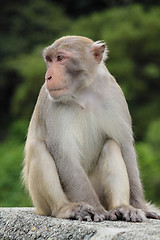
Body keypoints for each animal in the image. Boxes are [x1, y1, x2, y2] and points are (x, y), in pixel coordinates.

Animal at [22, 36, 160, 223]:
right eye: (49, 60)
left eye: (60, 58)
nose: (48, 76)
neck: (83, 94)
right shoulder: (50, 103)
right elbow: (64, 155)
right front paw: (94, 209)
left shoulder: (114, 95)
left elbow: (125, 148)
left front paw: (140, 207)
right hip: (42, 203)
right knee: (38, 148)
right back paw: (67, 209)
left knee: (111, 145)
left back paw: (120, 207)